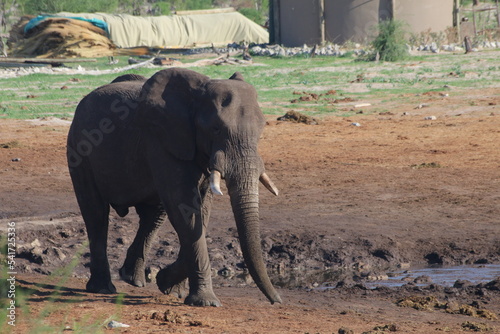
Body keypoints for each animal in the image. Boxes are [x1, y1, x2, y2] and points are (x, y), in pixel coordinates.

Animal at [66, 68, 282, 308]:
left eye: (261, 131)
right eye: (216, 129)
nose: (277, 301)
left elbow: (201, 212)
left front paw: (169, 287)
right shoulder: (161, 140)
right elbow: (184, 207)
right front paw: (205, 302)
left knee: (154, 215)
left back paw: (132, 278)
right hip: (79, 148)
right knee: (95, 213)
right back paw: (103, 288)